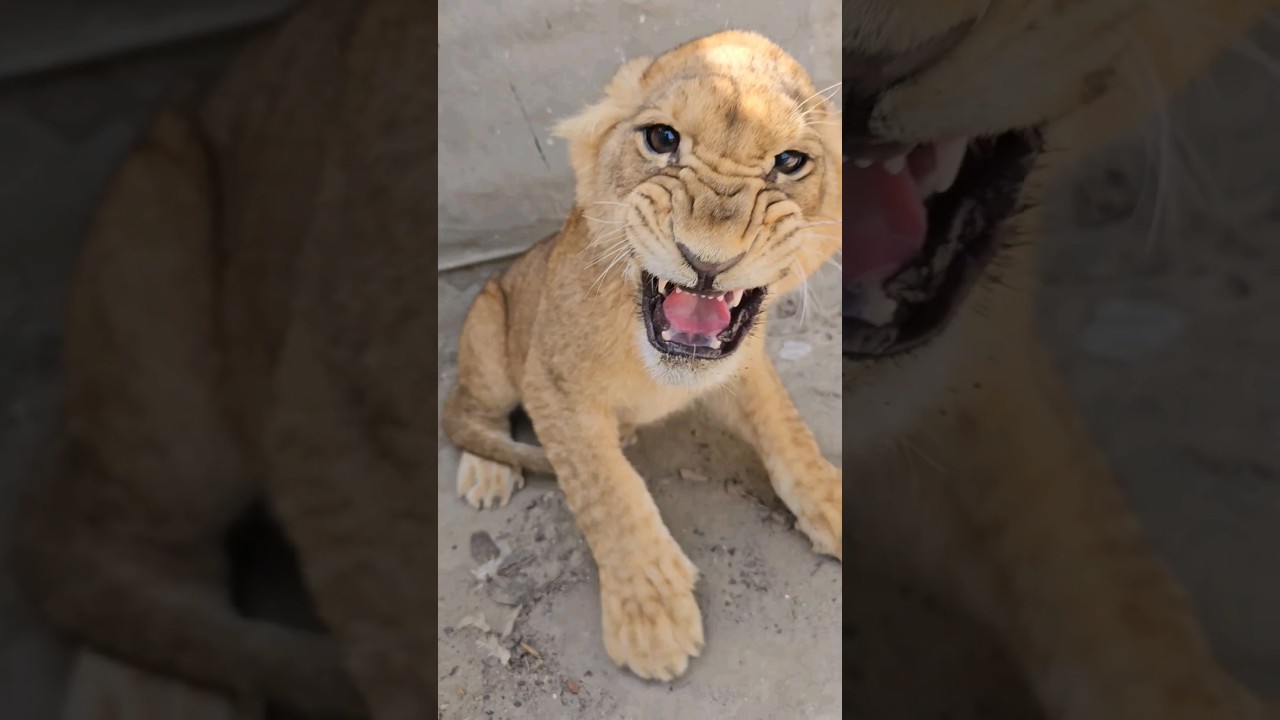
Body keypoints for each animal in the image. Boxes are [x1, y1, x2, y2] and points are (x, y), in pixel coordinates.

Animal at [440, 30, 843, 681]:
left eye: (789, 163)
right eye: (662, 139)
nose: (706, 260)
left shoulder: (741, 369)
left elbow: (789, 434)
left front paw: (833, 501)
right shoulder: (550, 385)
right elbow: (606, 490)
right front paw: (650, 613)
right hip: (490, 326)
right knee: (467, 408)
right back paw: (488, 471)